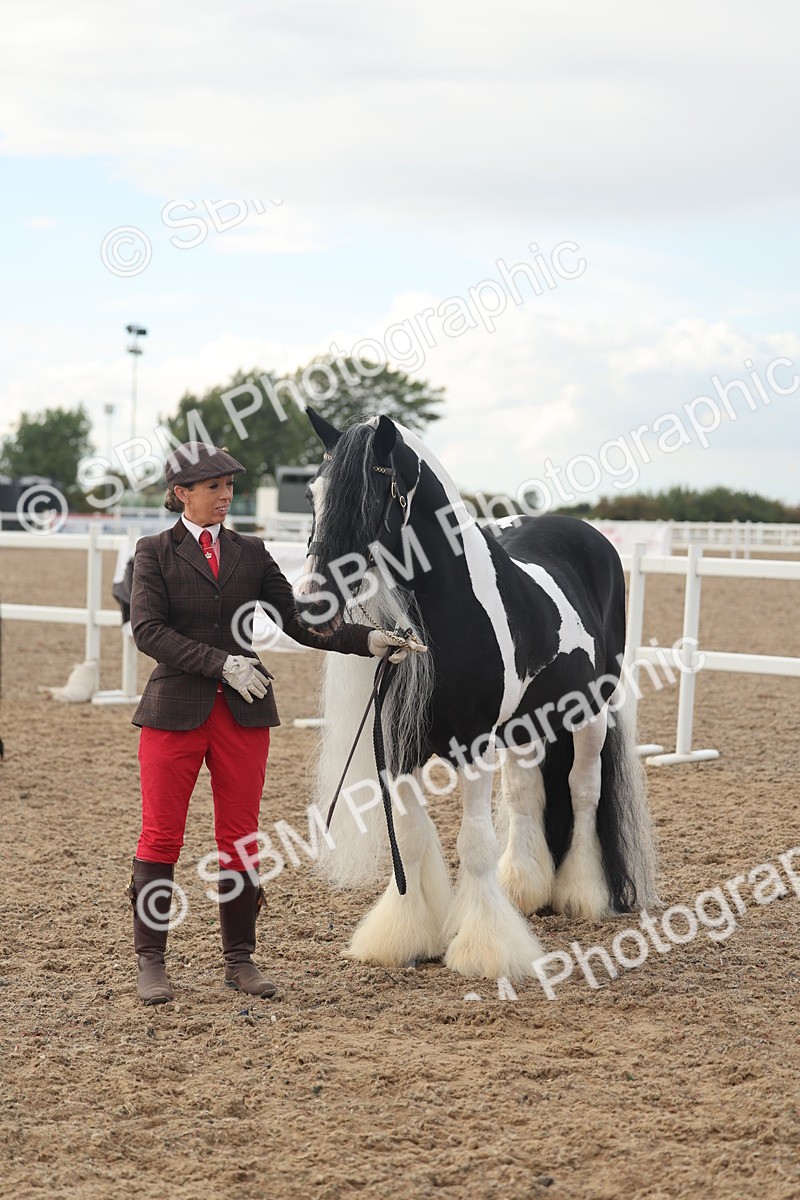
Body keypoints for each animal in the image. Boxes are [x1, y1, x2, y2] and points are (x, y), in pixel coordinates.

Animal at [300, 409, 658, 981]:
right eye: (313, 492)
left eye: (370, 496)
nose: (312, 604)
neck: (450, 609)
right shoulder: (399, 748)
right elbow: (414, 837)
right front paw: (405, 934)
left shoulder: (473, 745)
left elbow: (473, 844)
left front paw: (485, 948)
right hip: (527, 725)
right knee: (526, 795)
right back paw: (527, 889)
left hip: (591, 714)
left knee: (583, 792)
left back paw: (580, 894)